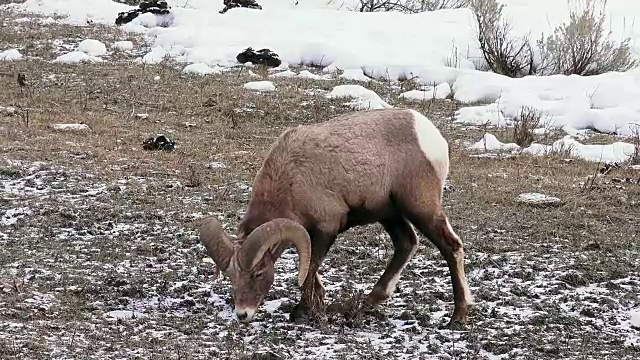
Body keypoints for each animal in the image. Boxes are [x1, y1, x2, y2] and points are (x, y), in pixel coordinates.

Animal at [200, 107, 476, 326]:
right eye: (231, 277)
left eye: (258, 273)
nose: (242, 314)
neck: (289, 177)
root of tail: (432, 137)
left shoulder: (326, 228)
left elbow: (309, 270)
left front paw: (302, 312)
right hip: (389, 213)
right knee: (406, 243)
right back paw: (369, 301)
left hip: (420, 208)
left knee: (451, 247)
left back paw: (457, 316)